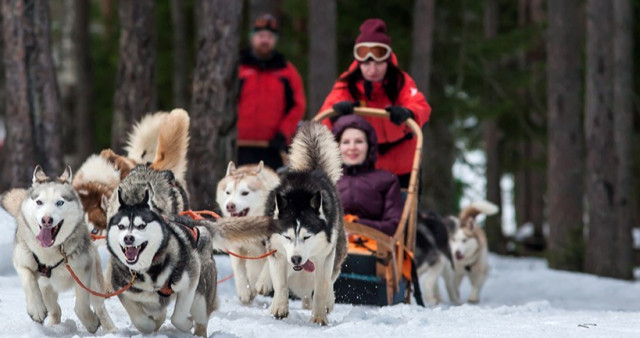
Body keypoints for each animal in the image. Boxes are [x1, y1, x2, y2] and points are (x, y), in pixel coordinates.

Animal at [3, 166, 115, 332]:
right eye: (39, 202)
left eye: (60, 202)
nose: (46, 220)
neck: (50, 253)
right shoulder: (22, 262)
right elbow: (29, 281)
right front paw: (36, 309)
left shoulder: (83, 271)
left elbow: (81, 306)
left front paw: (91, 323)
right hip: (46, 289)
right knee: (56, 310)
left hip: (95, 284)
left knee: (100, 307)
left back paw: (111, 329)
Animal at [107, 190, 272, 336]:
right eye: (121, 226)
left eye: (141, 226)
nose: (128, 238)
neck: (149, 269)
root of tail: (193, 221)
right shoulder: (123, 290)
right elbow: (140, 320)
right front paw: (150, 324)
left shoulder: (190, 279)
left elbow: (177, 318)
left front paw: (186, 324)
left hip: (201, 292)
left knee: (200, 320)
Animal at [216, 161, 278, 304]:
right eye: (228, 192)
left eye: (245, 193)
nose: (230, 206)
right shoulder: (236, 246)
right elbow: (239, 268)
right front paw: (244, 291)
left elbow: (269, 263)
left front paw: (263, 283)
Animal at [264, 122, 348, 324]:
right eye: (287, 236)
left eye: (307, 237)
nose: (295, 259)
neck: (299, 196)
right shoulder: (277, 253)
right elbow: (281, 285)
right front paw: (279, 308)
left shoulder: (325, 257)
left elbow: (322, 288)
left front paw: (319, 317)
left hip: (338, 250)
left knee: (331, 280)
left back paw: (328, 303)